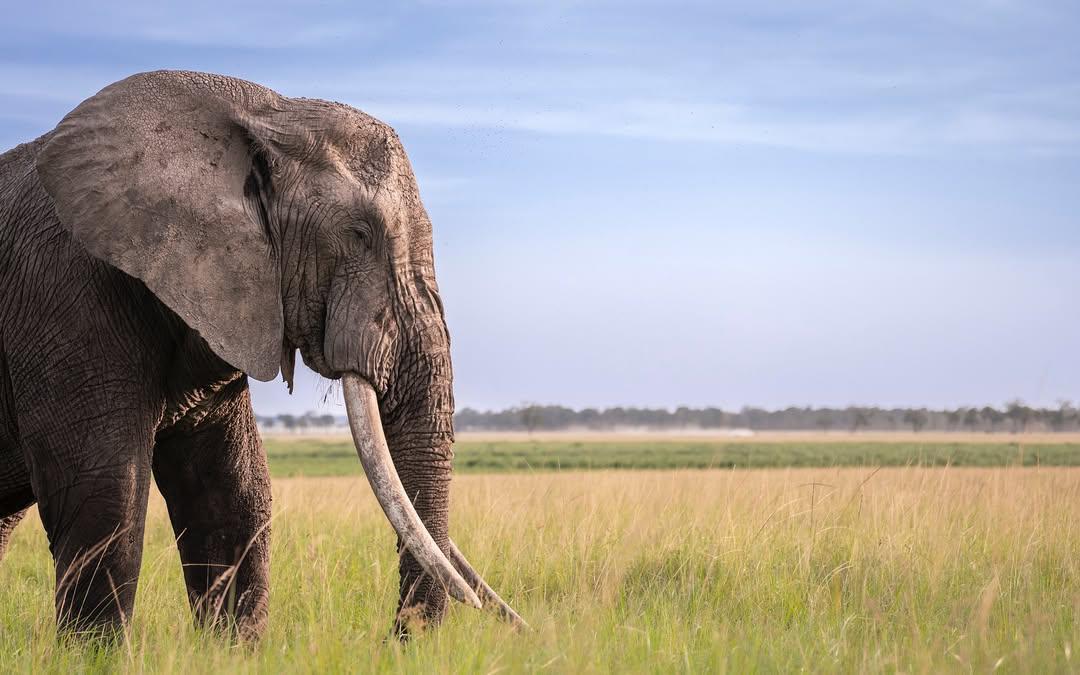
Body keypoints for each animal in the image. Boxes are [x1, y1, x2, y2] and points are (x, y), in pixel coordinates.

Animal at [0, 70, 522, 640]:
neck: (264, 112)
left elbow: (231, 495)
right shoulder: (62, 292)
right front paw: (95, 653)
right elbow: (106, 492)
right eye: (359, 234)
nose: (396, 641)